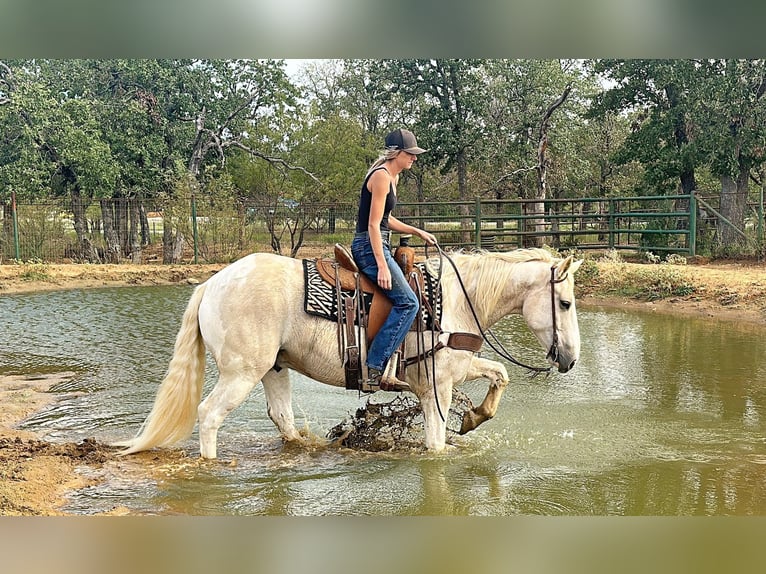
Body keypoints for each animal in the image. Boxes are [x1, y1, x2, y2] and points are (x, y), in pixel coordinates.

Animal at [115, 246, 584, 460]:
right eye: (564, 303)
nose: (571, 360)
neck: (451, 301)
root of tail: (210, 284)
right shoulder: (436, 387)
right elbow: (435, 445)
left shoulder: (459, 367)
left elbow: (500, 374)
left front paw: (474, 418)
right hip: (240, 373)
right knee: (209, 415)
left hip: (273, 369)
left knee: (281, 417)